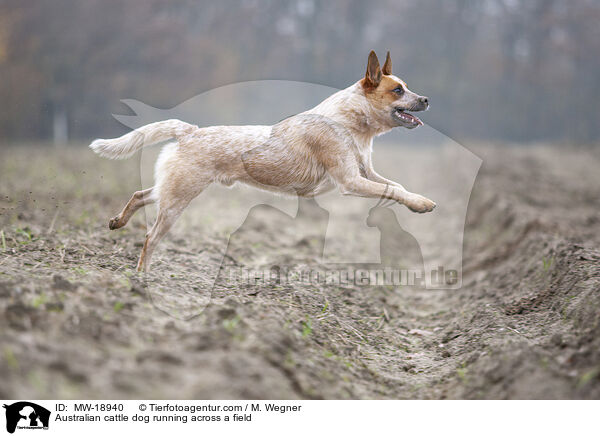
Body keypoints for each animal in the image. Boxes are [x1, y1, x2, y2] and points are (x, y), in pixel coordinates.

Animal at [90, 49, 436, 270]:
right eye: (398, 90)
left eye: (406, 87)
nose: (426, 99)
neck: (353, 125)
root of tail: (189, 131)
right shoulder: (350, 181)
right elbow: (391, 190)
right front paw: (420, 205)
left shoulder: (366, 173)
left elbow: (397, 186)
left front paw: (417, 201)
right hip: (179, 197)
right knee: (150, 238)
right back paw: (142, 281)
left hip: (173, 190)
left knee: (139, 195)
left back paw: (117, 222)